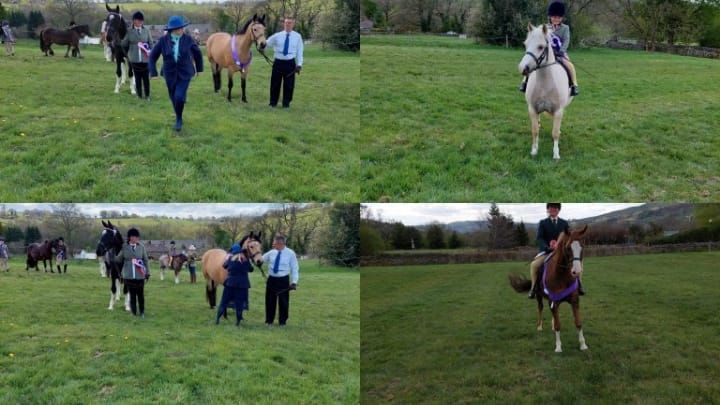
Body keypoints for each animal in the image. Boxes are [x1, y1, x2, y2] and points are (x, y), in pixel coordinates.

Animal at [516, 21, 572, 158]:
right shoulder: (532, 109)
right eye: (525, 44)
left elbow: (555, 133)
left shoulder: (558, 111)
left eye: (541, 47)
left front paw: (556, 154)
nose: (522, 68)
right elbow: (535, 130)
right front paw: (534, 150)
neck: (545, 83)